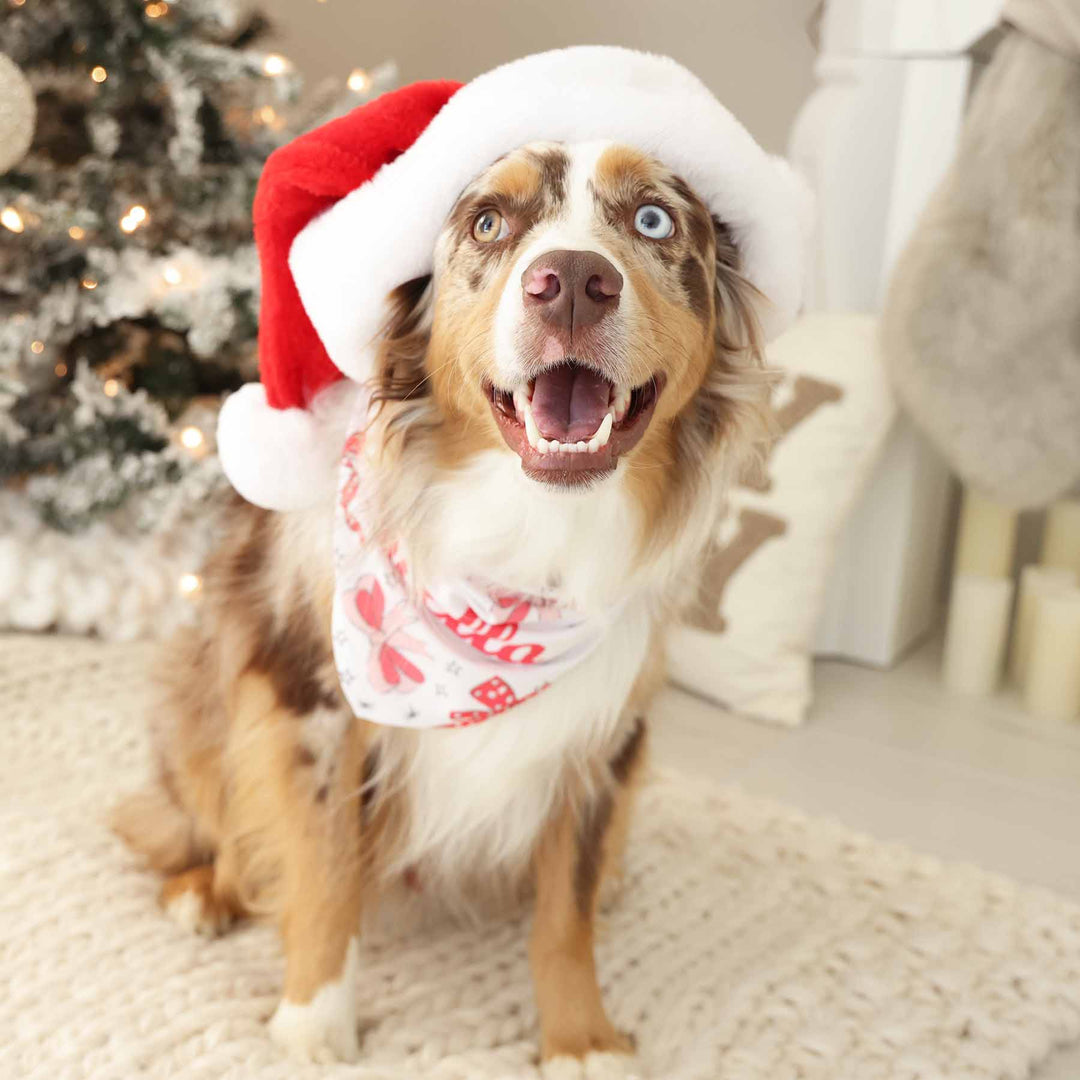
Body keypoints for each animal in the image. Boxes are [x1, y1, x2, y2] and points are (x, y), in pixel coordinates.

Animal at [113, 139, 768, 1075]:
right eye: (488, 221)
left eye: (652, 218)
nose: (573, 282)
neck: (523, 547)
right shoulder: (314, 703)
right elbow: (323, 869)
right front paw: (314, 1021)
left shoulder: (607, 733)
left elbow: (565, 913)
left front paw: (581, 1039)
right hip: (202, 686)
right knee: (210, 823)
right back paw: (206, 890)